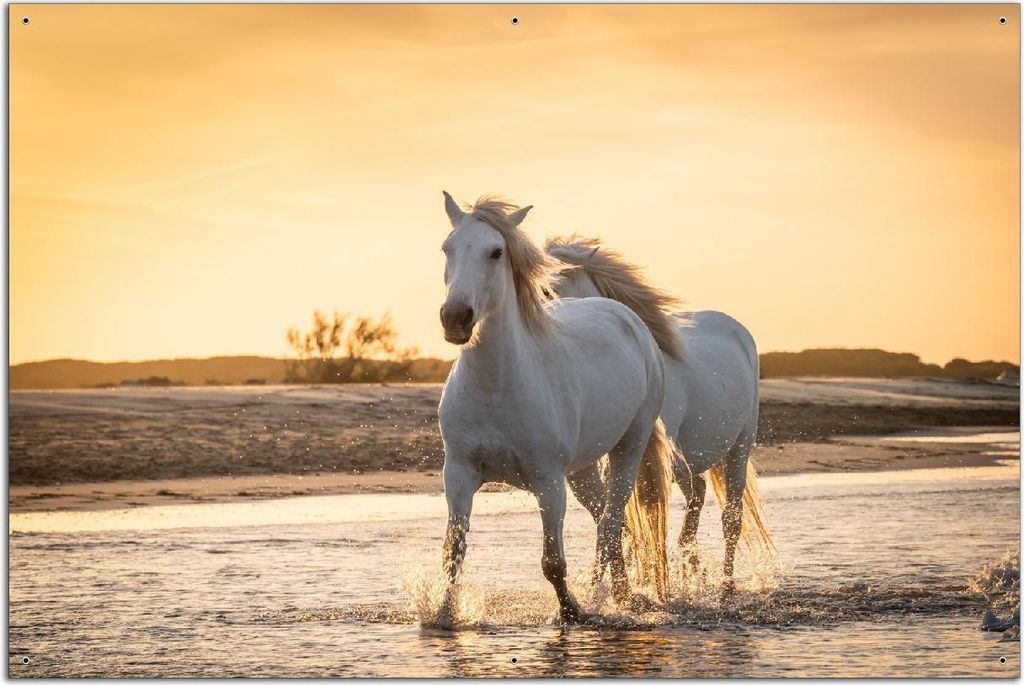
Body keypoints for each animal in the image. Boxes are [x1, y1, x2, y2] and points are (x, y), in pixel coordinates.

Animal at [436, 193, 678, 624]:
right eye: (447, 248)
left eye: (496, 252)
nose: (456, 318)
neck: (498, 387)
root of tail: (626, 317)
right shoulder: (459, 475)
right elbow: (453, 553)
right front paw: (443, 617)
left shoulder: (548, 482)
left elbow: (552, 561)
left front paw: (571, 613)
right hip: (581, 470)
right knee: (608, 521)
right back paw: (620, 594)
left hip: (629, 447)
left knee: (611, 522)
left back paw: (610, 598)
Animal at [545, 235, 772, 591]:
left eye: (552, 289)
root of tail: (738, 330)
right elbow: (613, 519)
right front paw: (613, 586)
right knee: (698, 495)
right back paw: (694, 570)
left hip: (739, 447)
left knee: (730, 519)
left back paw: (725, 586)